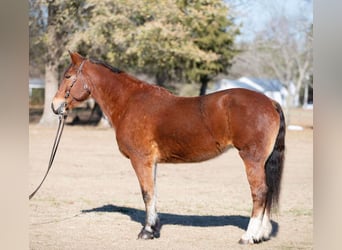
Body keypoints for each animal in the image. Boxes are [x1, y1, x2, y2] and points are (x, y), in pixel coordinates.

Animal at [51, 51, 286, 244]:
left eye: (68, 76)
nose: (55, 106)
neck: (129, 102)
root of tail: (270, 102)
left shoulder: (141, 160)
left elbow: (146, 193)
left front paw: (146, 232)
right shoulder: (151, 162)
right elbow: (153, 193)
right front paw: (154, 229)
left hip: (252, 159)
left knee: (259, 193)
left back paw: (249, 236)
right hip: (263, 162)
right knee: (267, 192)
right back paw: (261, 234)